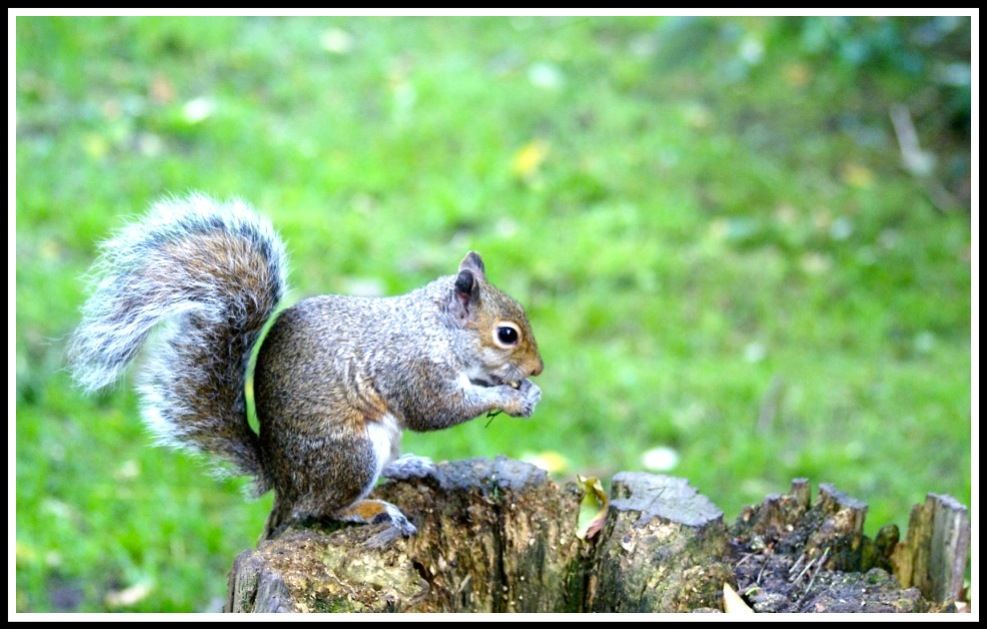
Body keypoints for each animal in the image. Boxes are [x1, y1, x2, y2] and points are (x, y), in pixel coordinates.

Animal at [69, 193, 543, 545]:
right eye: (507, 334)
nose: (538, 369)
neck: (435, 329)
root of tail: (283, 484)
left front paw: (525, 392)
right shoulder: (412, 369)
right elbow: (437, 410)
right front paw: (509, 397)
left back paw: (405, 467)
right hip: (351, 453)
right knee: (324, 508)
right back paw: (372, 508)